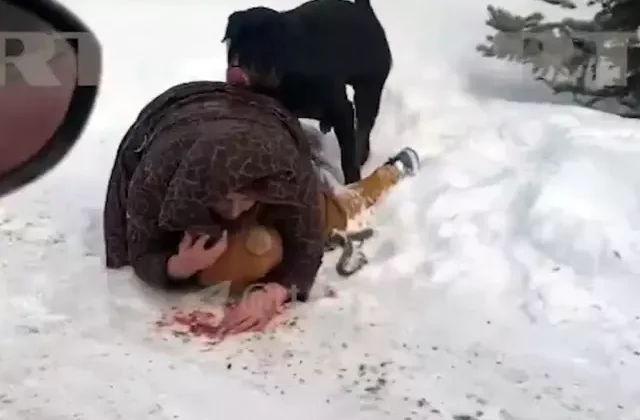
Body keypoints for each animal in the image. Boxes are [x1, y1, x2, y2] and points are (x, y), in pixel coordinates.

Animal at [222, 0, 390, 184]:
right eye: (232, 43)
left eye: (264, 47)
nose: (236, 70)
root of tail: (365, 11)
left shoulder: (341, 108)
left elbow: (347, 155)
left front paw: (353, 183)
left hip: (369, 86)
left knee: (364, 124)